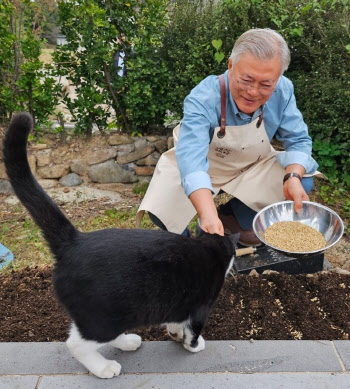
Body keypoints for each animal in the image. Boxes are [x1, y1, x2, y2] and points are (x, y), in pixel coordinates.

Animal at [2, 113, 238, 378]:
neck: (210, 247)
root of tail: (73, 241)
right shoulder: (201, 306)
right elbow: (194, 330)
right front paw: (194, 346)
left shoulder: (179, 304)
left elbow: (177, 322)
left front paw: (175, 334)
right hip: (102, 317)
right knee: (76, 343)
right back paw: (104, 367)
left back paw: (127, 342)